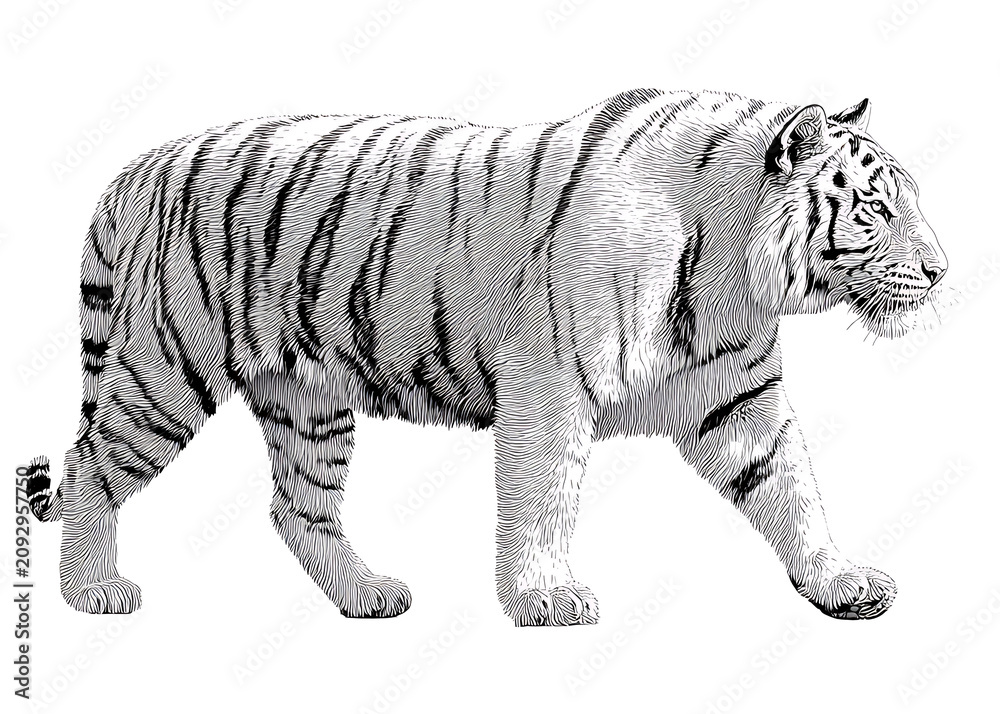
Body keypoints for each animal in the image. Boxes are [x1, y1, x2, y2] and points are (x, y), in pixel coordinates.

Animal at [23, 88, 948, 625]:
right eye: (874, 207)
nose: (943, 270)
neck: (733, 270)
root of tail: (146, 162)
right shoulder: (551, 383)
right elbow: (544, 496)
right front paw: (547, 596)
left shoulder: (738, 398)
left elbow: (793, 489)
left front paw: (840, 580)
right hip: (163, 374)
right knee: (91, 465)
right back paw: (90, 592)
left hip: (307, 400)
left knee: (297, 508)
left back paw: (367, 595)